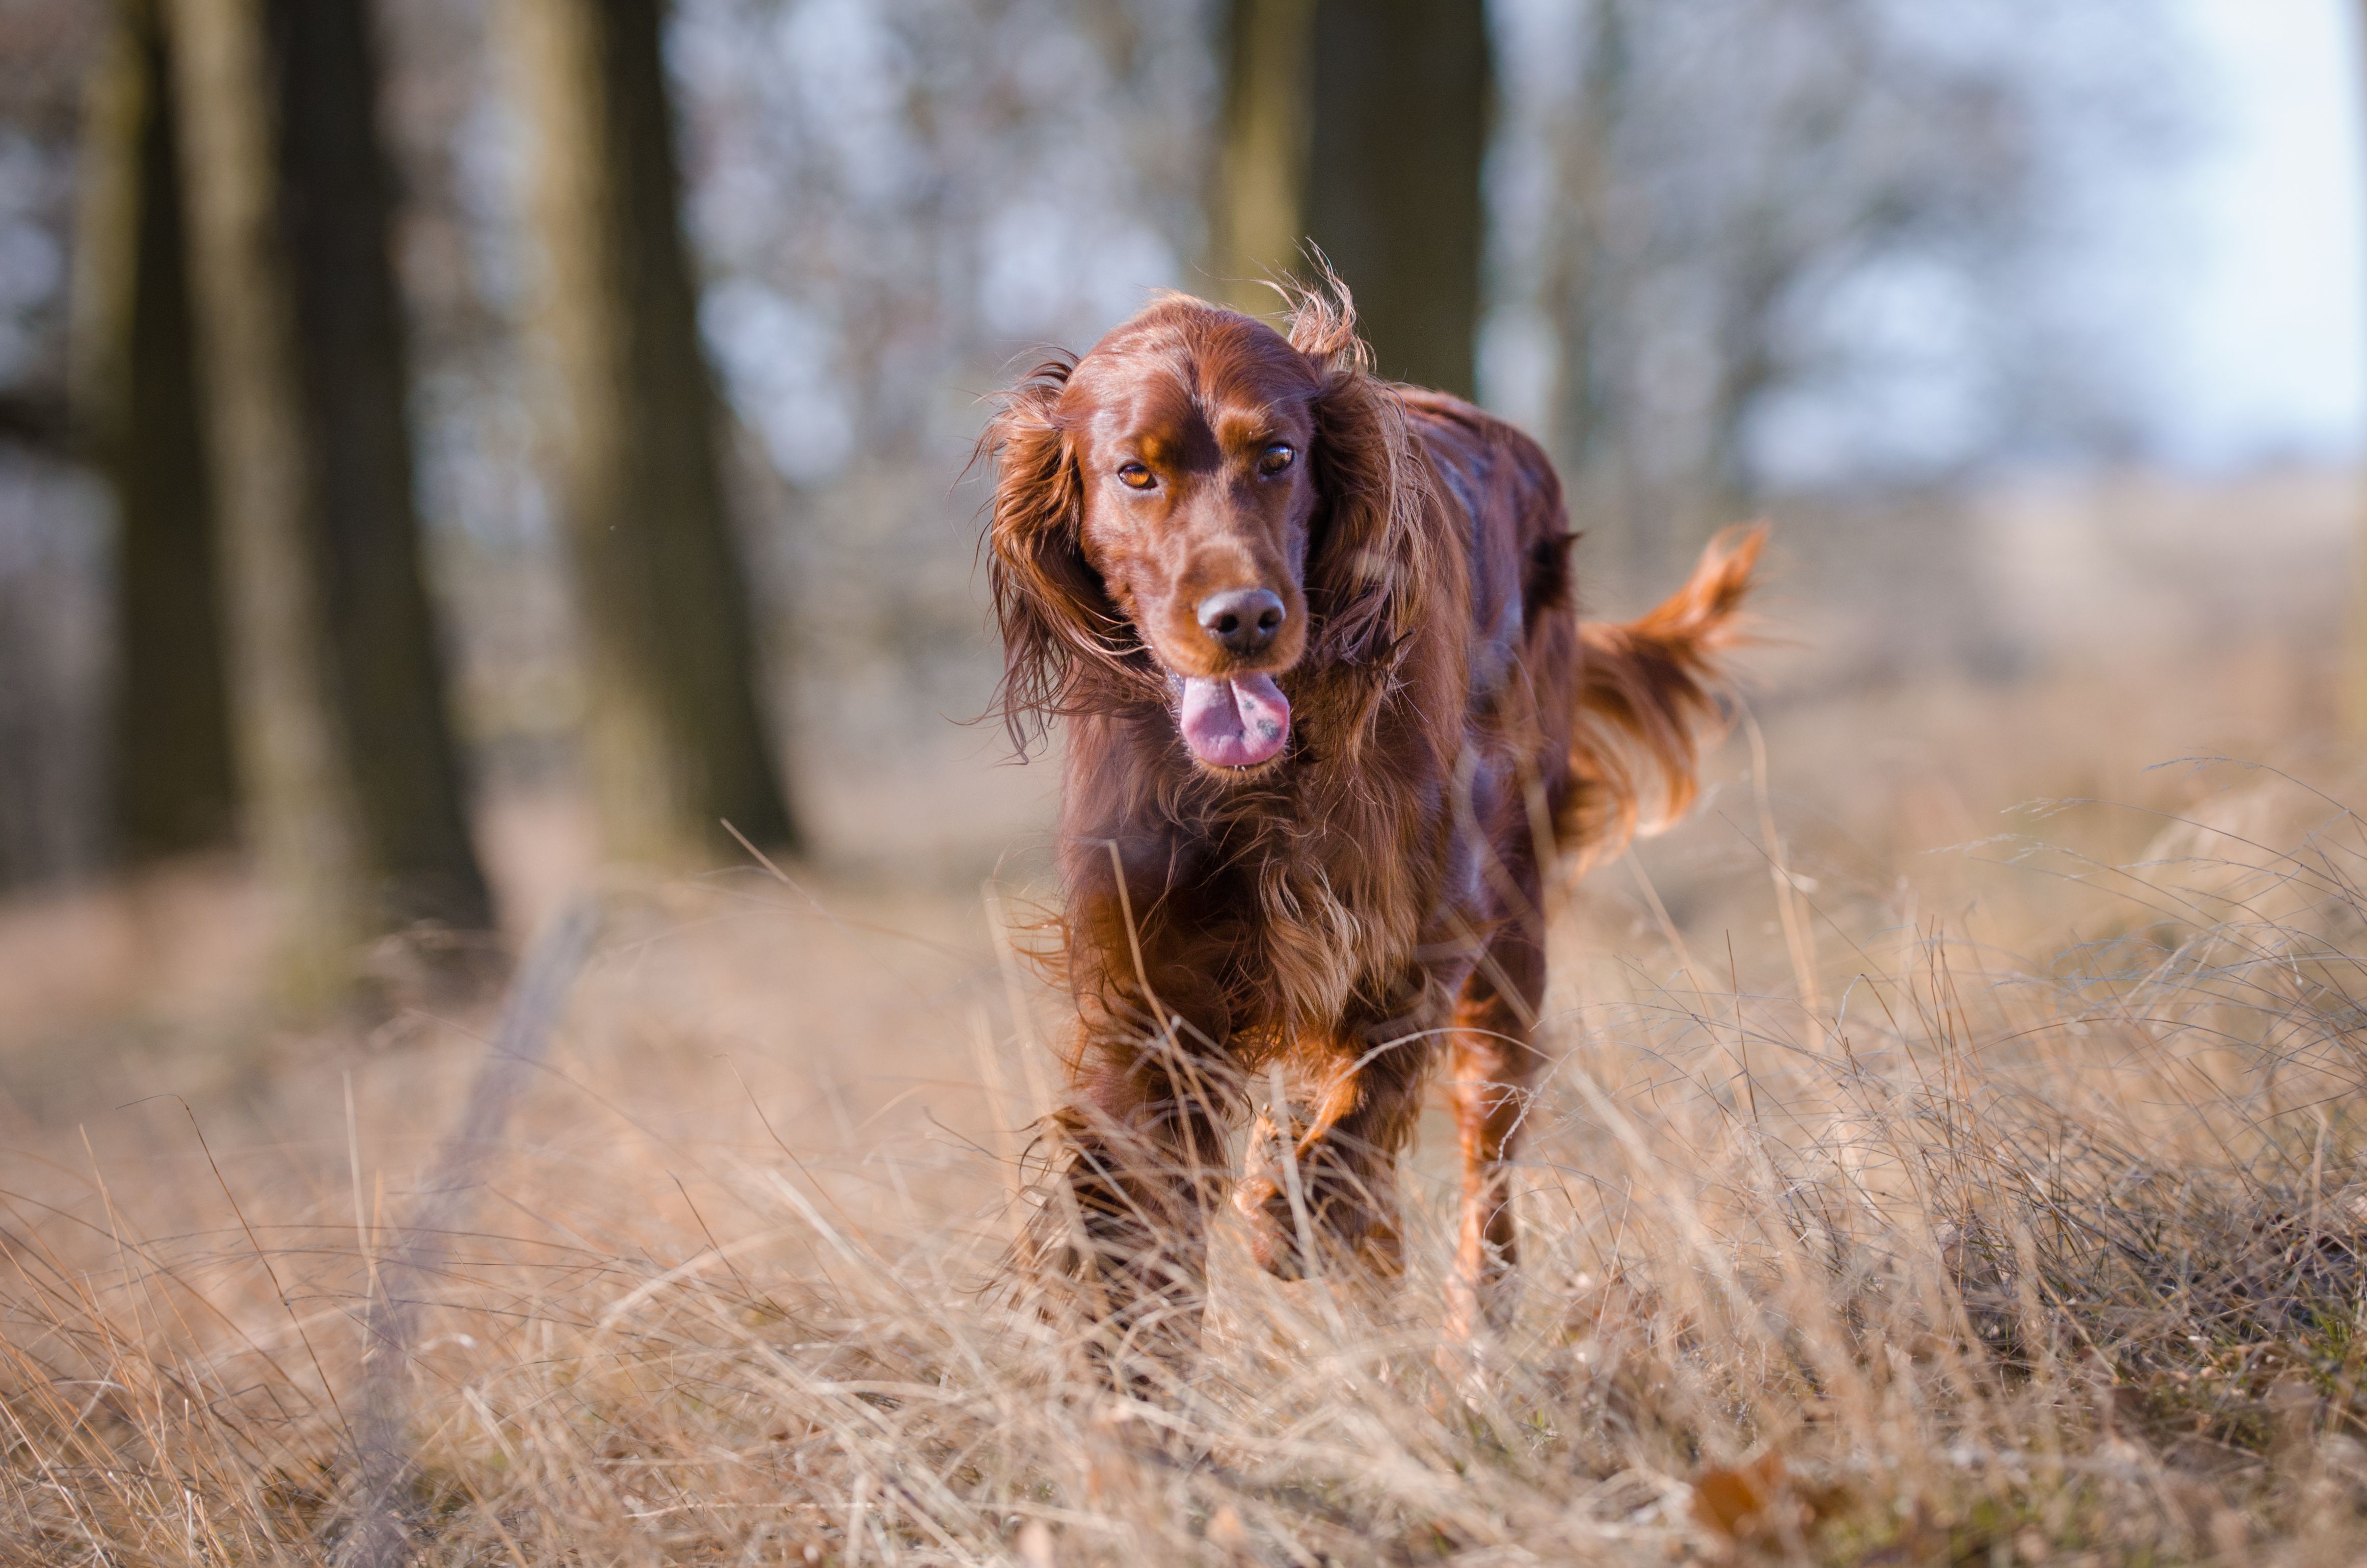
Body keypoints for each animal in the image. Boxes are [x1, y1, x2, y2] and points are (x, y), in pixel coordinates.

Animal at [980, 283, 1761, 1354]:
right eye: (1135, 472)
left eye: (1278, 455)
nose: (1244, 618)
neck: (1264, 778)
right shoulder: (1151, 1001)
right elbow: (1134, 1232)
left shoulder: (1414, 931)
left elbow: (1362, 1111)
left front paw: (1288, 1209)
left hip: (1511, 944)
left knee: (1482, 1157)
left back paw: (1470, 1338)